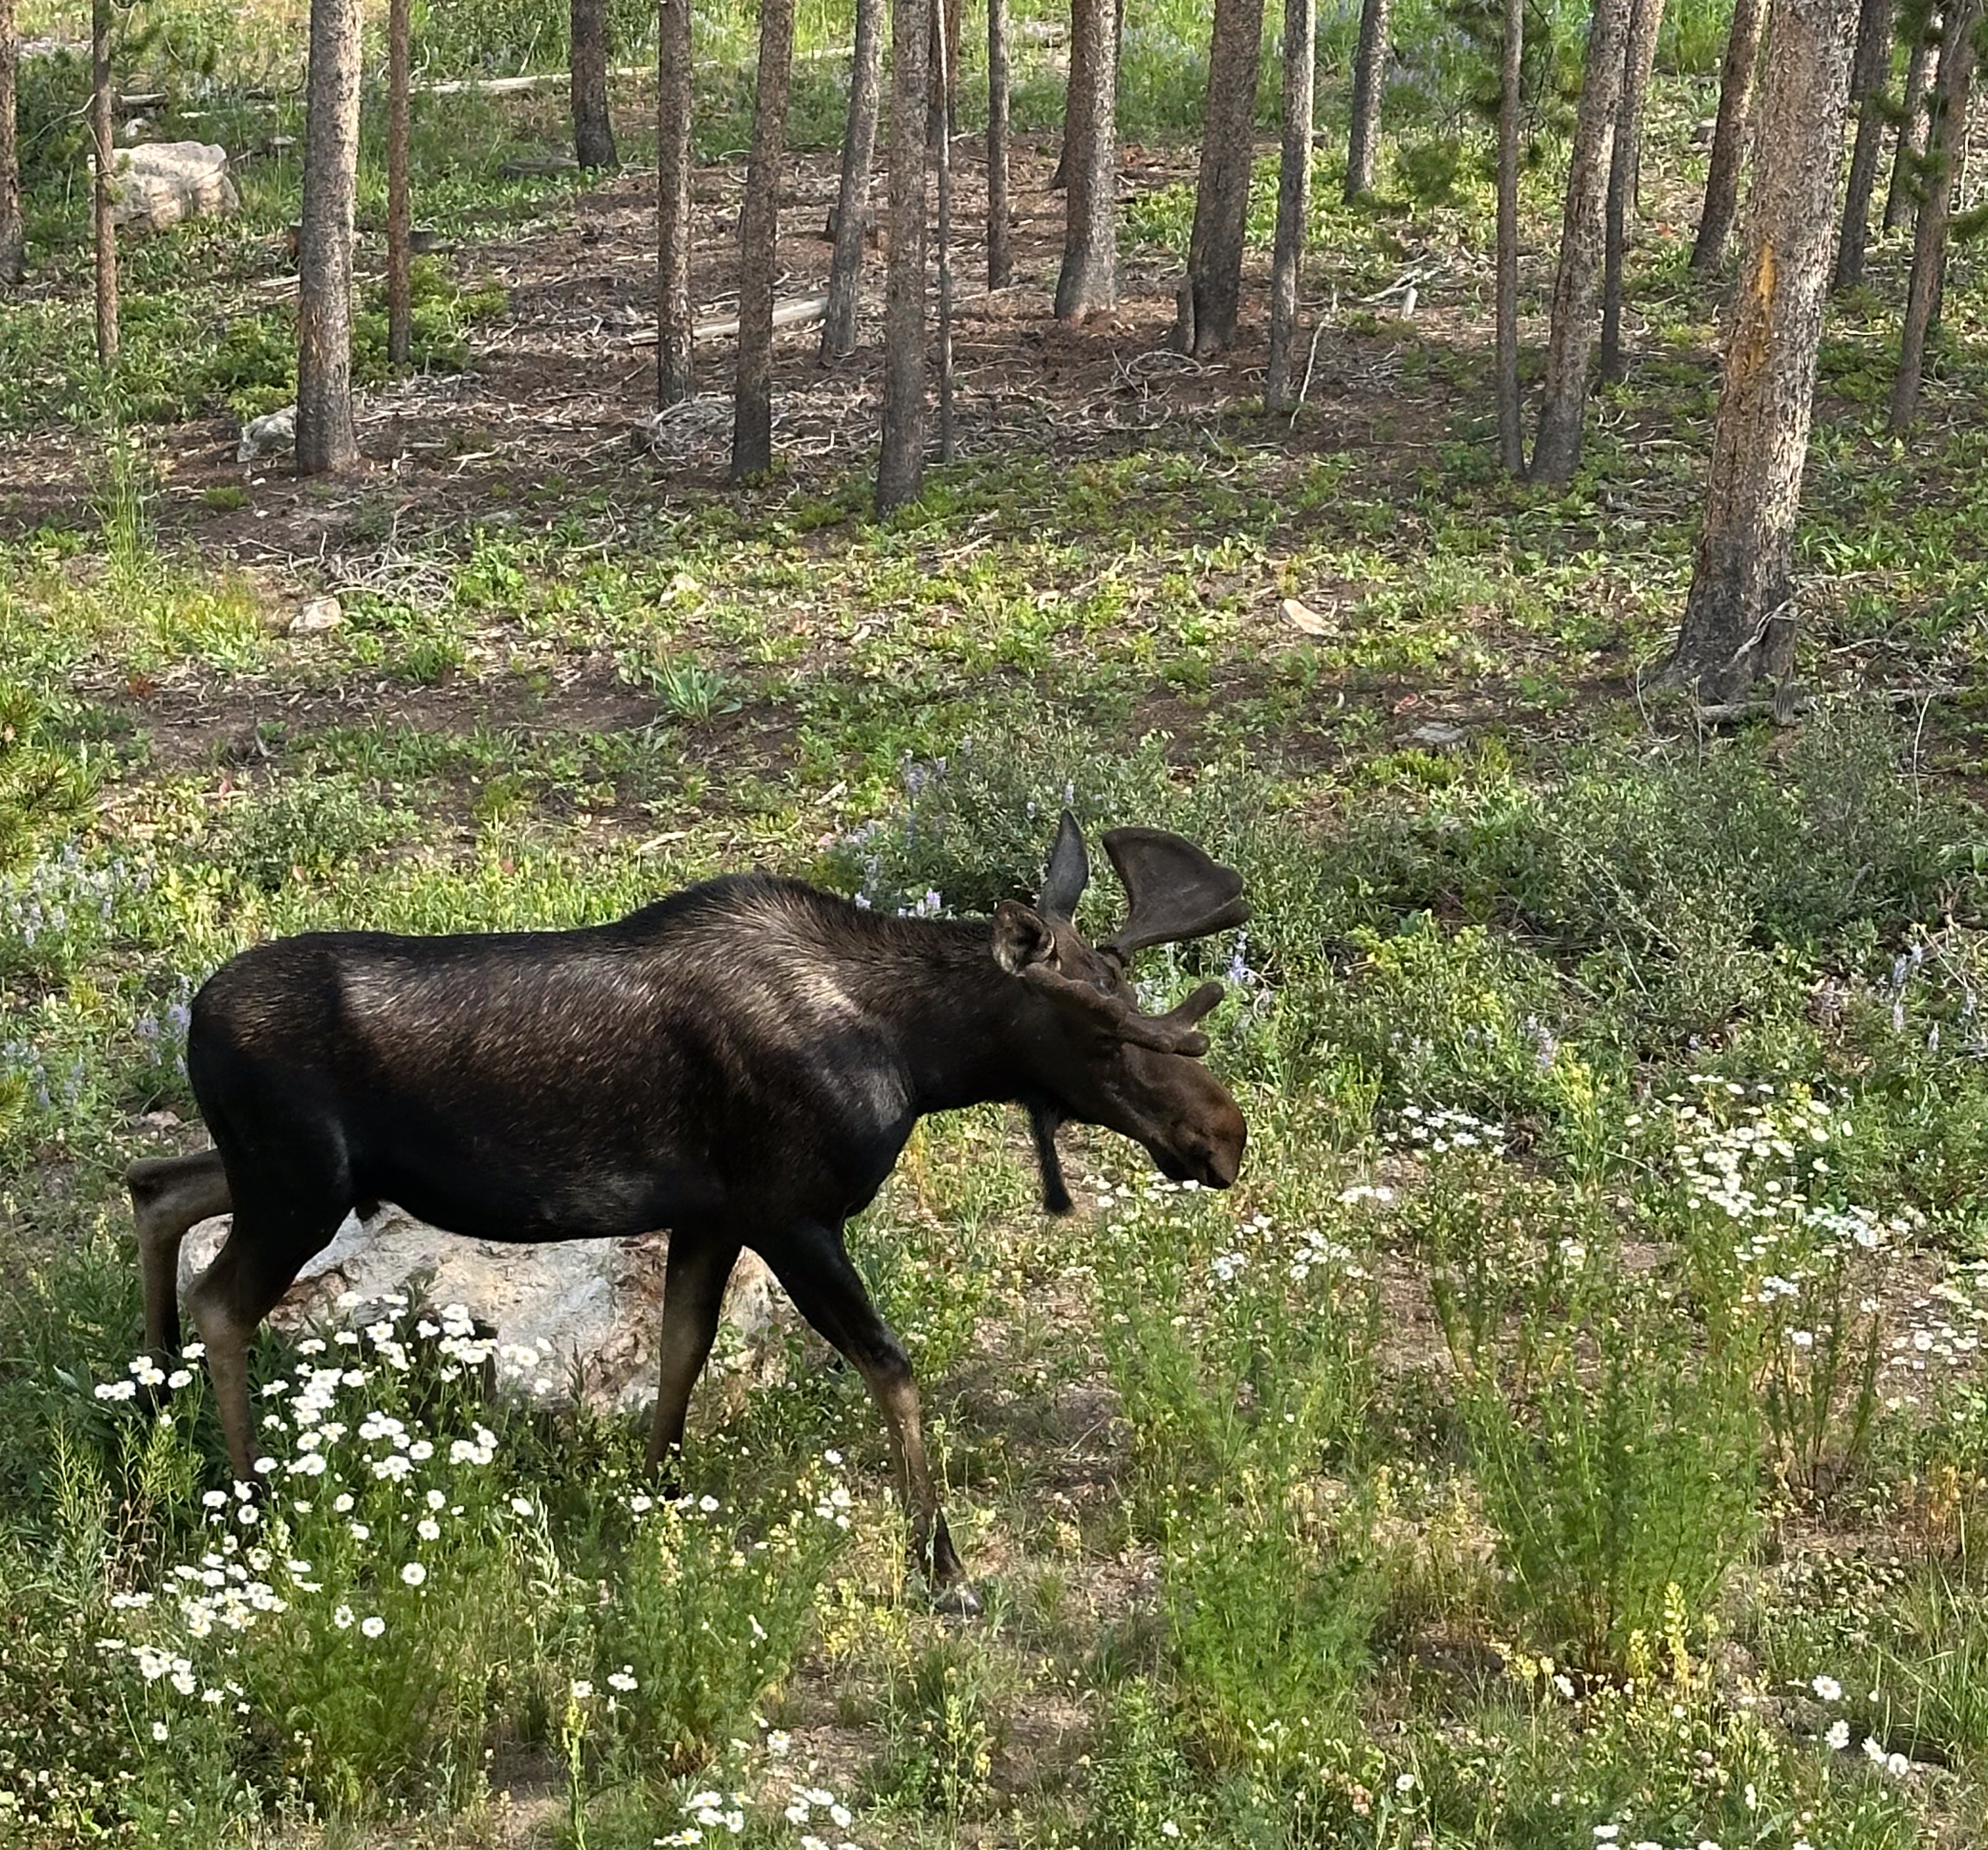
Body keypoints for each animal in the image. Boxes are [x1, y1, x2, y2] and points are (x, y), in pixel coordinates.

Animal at [124, 814, 1249, 1610]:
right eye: (1101, 1034)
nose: (1225, 1135)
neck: (919, 1059)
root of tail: (194, 1020)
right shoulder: (792, 1210)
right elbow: (891, 1370)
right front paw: (946, 1569)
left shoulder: (713, 1213)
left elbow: (682, 1350)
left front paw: (653, 1496)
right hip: (300, 1184)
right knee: (223, 1297)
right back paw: (248, 1500)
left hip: (289, 1174)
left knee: (155, 1185)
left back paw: (154, 1396)